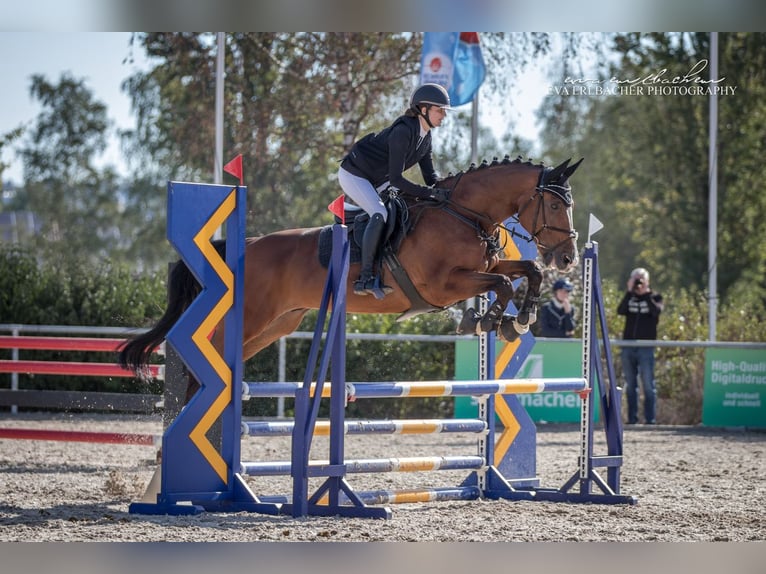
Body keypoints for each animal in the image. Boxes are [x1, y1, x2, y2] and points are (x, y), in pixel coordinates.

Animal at [119, 155, 582, 394]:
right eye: (554, 205)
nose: (568, 258)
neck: (462, 214)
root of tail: (245, 245)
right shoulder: (443, 285)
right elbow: (502, 283)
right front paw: (486, 320)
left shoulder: (483, 268)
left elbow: (526, 271)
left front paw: (517, 320)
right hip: (252, 316)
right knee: (210, 352)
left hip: (277, 324)